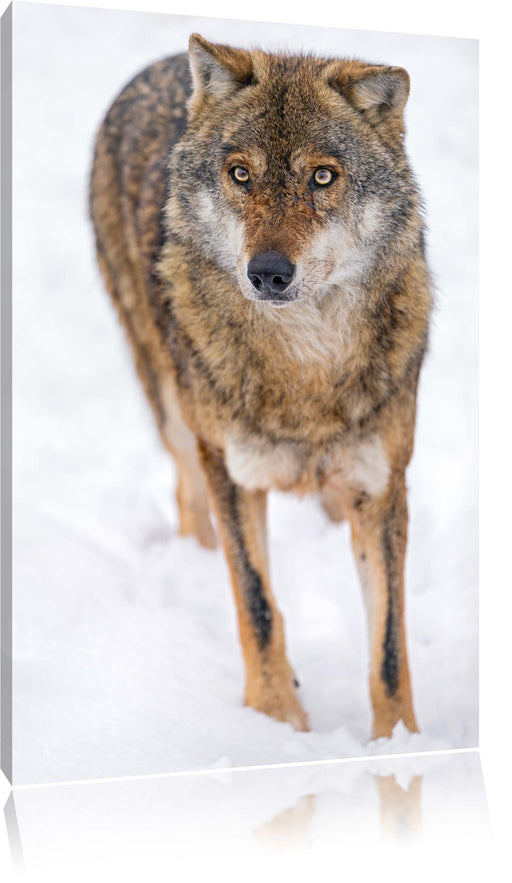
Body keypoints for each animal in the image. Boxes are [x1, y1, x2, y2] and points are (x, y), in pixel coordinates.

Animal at [91, 34, 432, 740]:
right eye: (241, 174)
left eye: (323, 176)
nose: (268, 273)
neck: (305, 370)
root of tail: (162, 63)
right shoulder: (234, 473)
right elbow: (258, 605)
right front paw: (276, 724)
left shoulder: (383, 485)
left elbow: (388, 648)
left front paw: (401, 748)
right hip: (173, 410)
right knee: (188, 496)